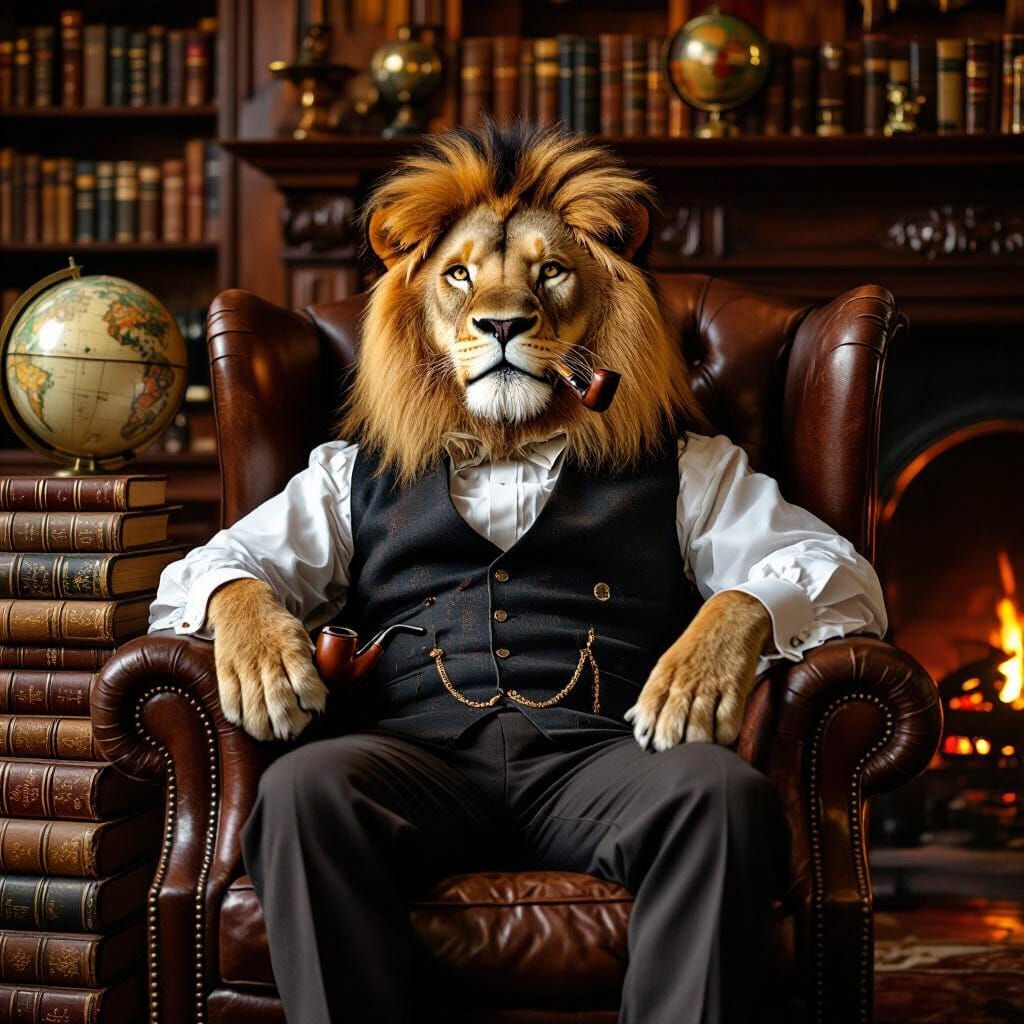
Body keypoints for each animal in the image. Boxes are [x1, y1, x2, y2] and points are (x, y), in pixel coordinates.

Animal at [207, 121, 772, 750]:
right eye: (460, 273)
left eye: (550, 270)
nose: (502, 325)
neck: (508, 441)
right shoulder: (325, 473)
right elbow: (230, 565)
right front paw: (269, 670)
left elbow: (765, 576)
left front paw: (689, 687)